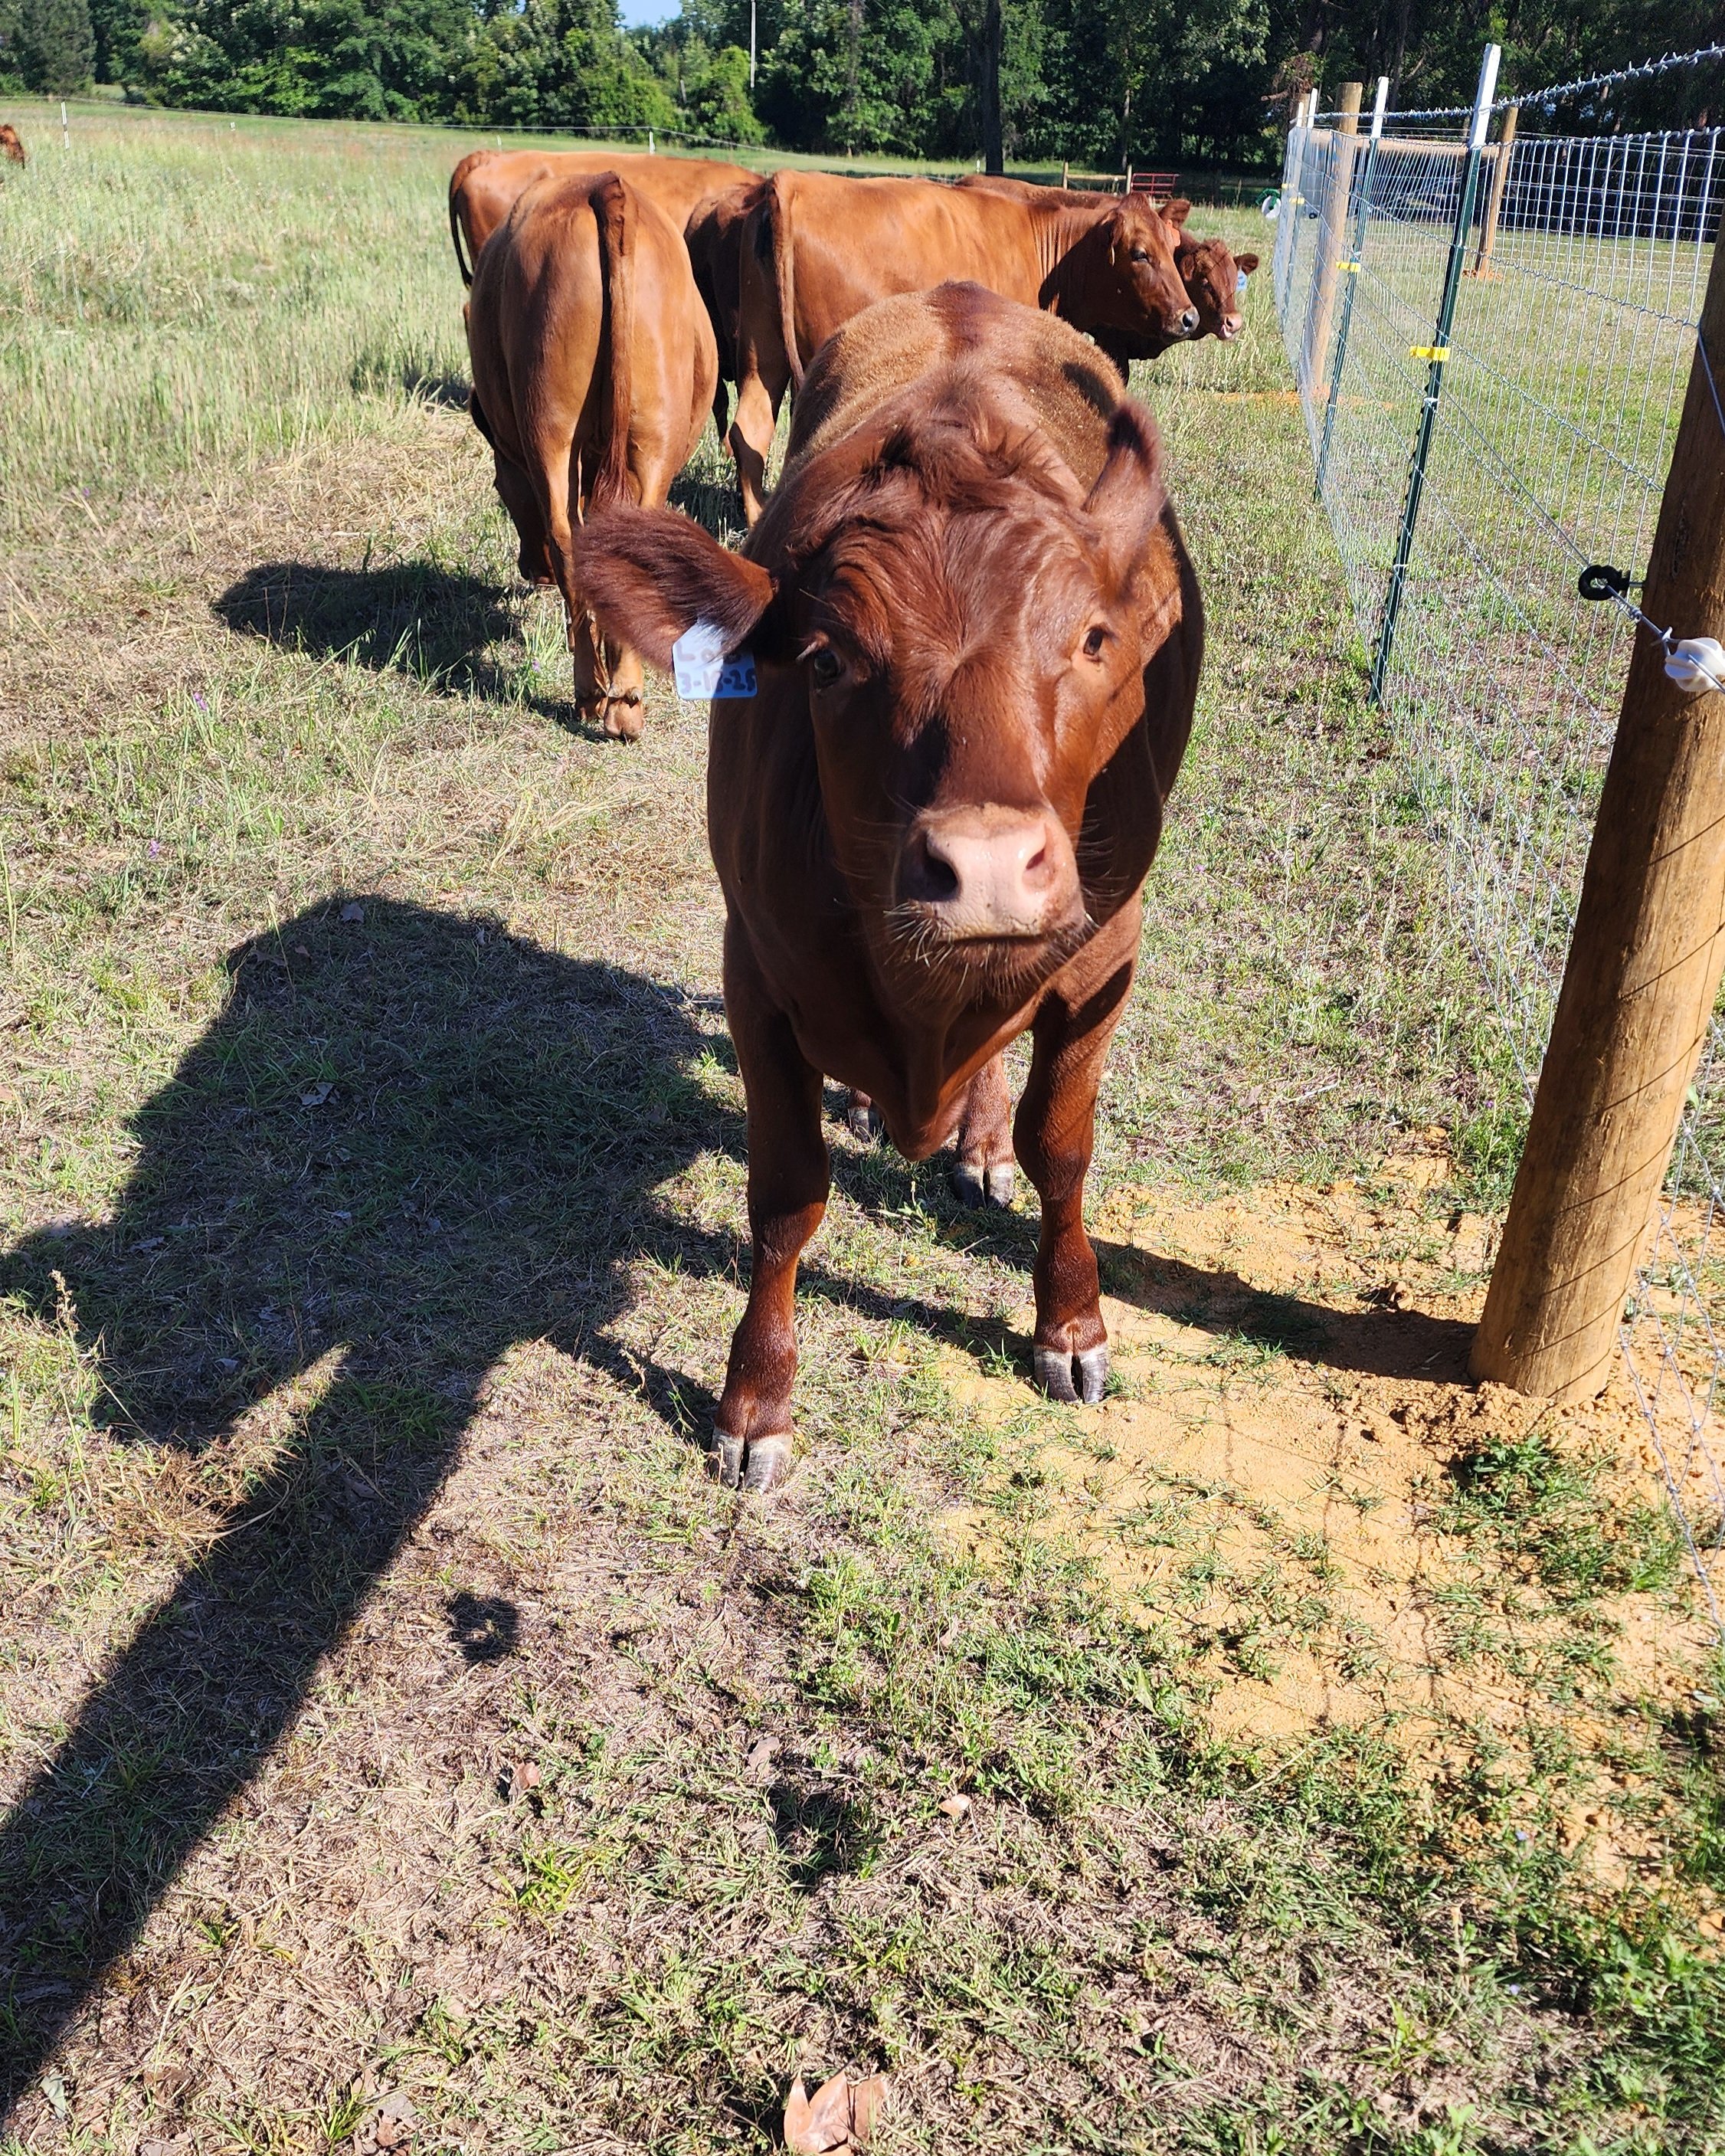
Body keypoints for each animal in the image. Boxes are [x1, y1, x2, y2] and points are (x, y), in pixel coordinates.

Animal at [465, 171, 718, 739]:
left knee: (565, 537)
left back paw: (590, 694)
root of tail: (606, 187)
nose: (528, 570)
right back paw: (623, 698)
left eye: (498, 487)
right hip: (648, 436)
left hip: (550, 433)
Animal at [572, 283, 1203, 1489]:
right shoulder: (757, 969)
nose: (988, 870)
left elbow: (1064, 1149)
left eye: (1094, 640)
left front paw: (1070, 1323)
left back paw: (980, 1142)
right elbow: (785, 1195)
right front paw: (756, 1398)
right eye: (826, 661)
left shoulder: (1108, 952)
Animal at [728, 171, 1199, 523]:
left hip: (761, 357)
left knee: (749, 433)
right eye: (1140, 254)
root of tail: (791, 182)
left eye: (1173, 248)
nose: (1189, 317)